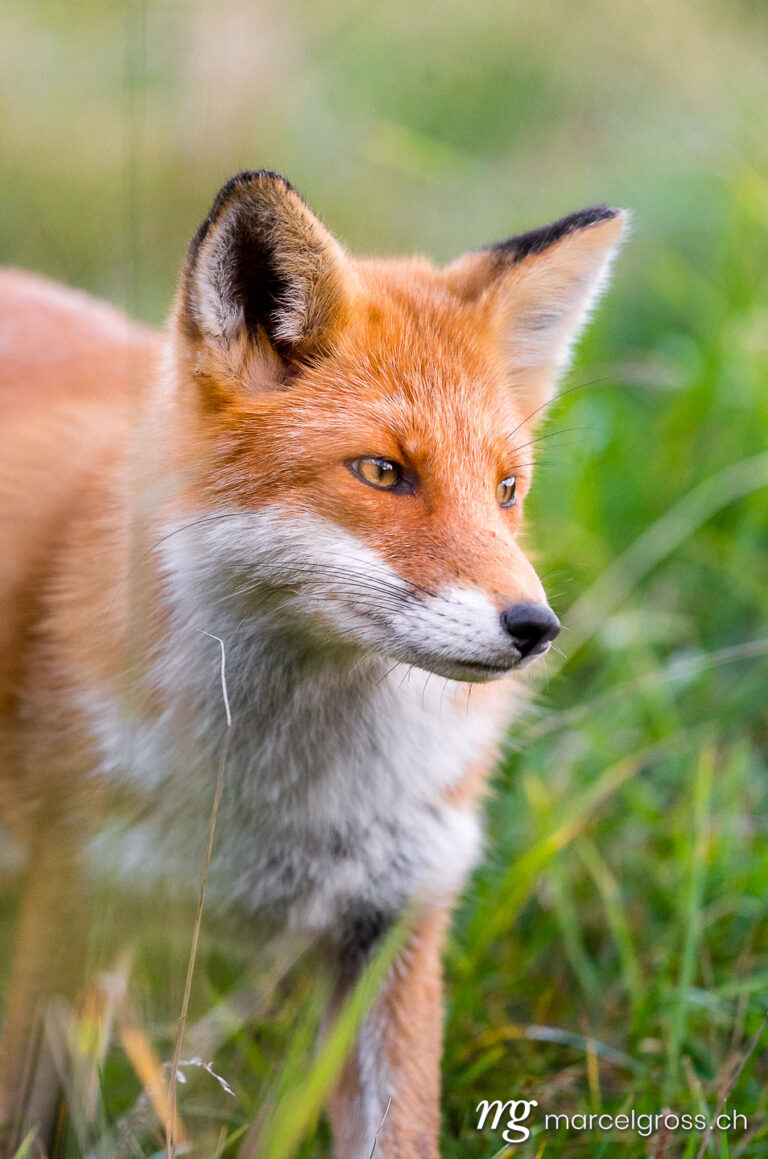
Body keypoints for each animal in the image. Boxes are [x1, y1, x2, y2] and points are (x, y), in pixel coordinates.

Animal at [0, 171, 625, 1159]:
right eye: (382, 471)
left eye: (506, 489)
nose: (536, 628)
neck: (291, 805)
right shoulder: (67, 899)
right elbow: (23, 1117)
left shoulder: (395, 918)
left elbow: (397, 1132)